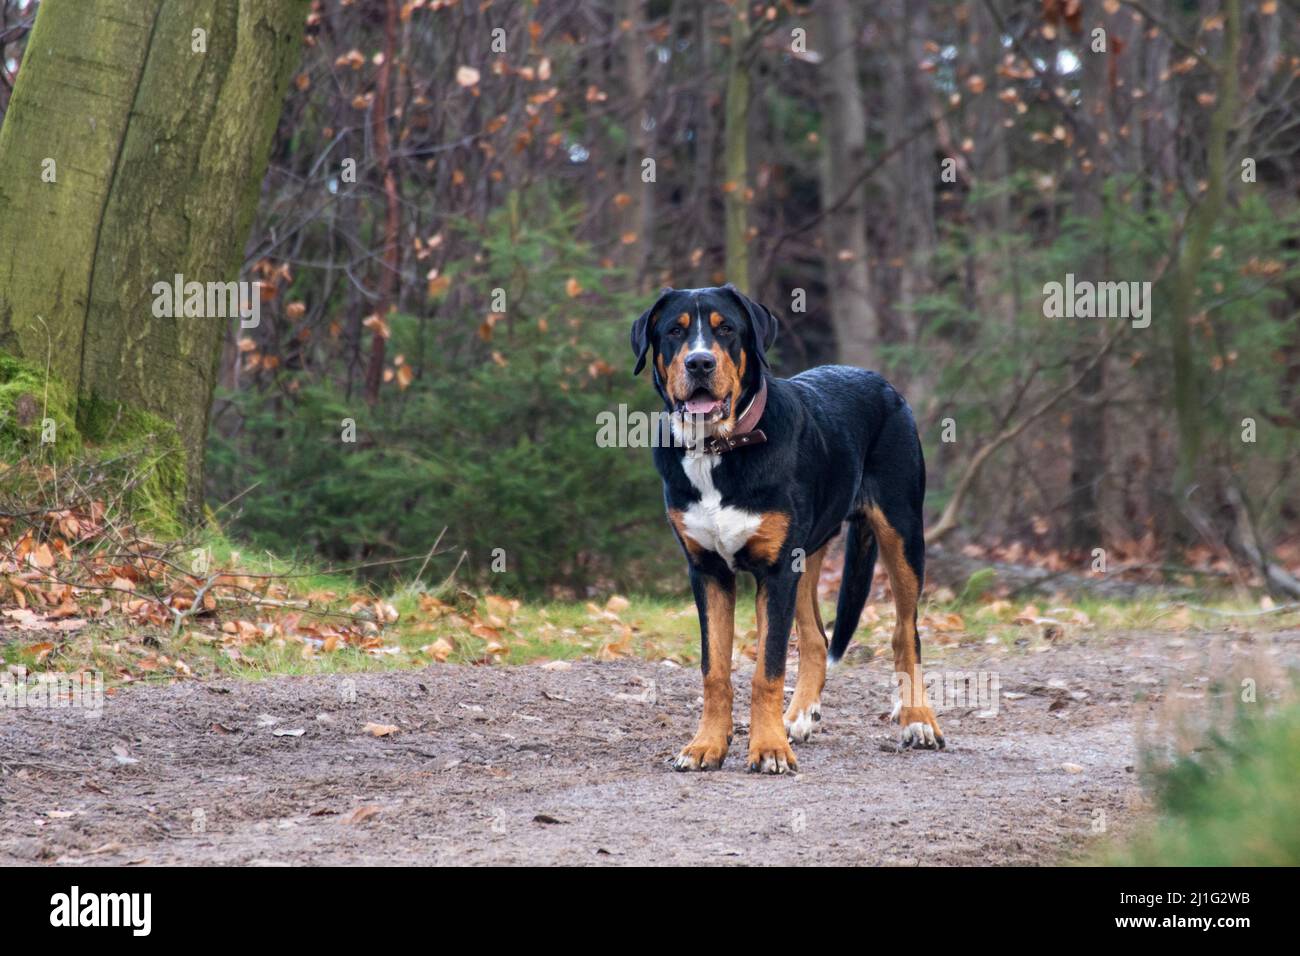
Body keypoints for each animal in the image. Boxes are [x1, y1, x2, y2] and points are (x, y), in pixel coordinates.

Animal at [631, 286, 946, 780]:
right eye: (674, 331)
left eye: (726, 329)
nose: (699, 363)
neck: (719, 449)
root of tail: (876, 379)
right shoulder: (708, 571)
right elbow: (714, 670)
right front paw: (707, 745)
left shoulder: (776, 571)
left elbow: (768, 669)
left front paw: (768, 749)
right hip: (807, 554)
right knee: (817, 639)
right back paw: (798, 717)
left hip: (902, 532)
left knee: (905, 632)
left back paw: (918, 721)